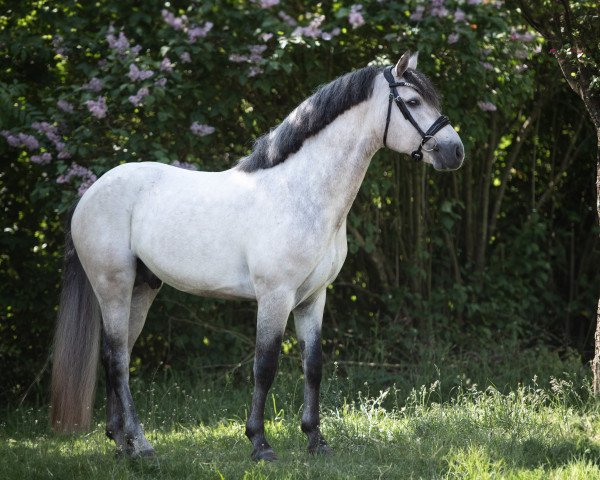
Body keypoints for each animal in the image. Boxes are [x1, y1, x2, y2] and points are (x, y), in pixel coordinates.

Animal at [50, 50, 464, 460]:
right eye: (413, 102)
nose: (455, 151)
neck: (301, 192)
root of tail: (90, 193)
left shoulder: (313, 297)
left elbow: (314, 365)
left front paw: (316, 440)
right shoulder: (275, 295)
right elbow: (265, 365)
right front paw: (259, 443)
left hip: (142, 288)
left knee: (117, 354)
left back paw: (121, 442)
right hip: (113, 286)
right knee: (117, 359)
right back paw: (140, 444)